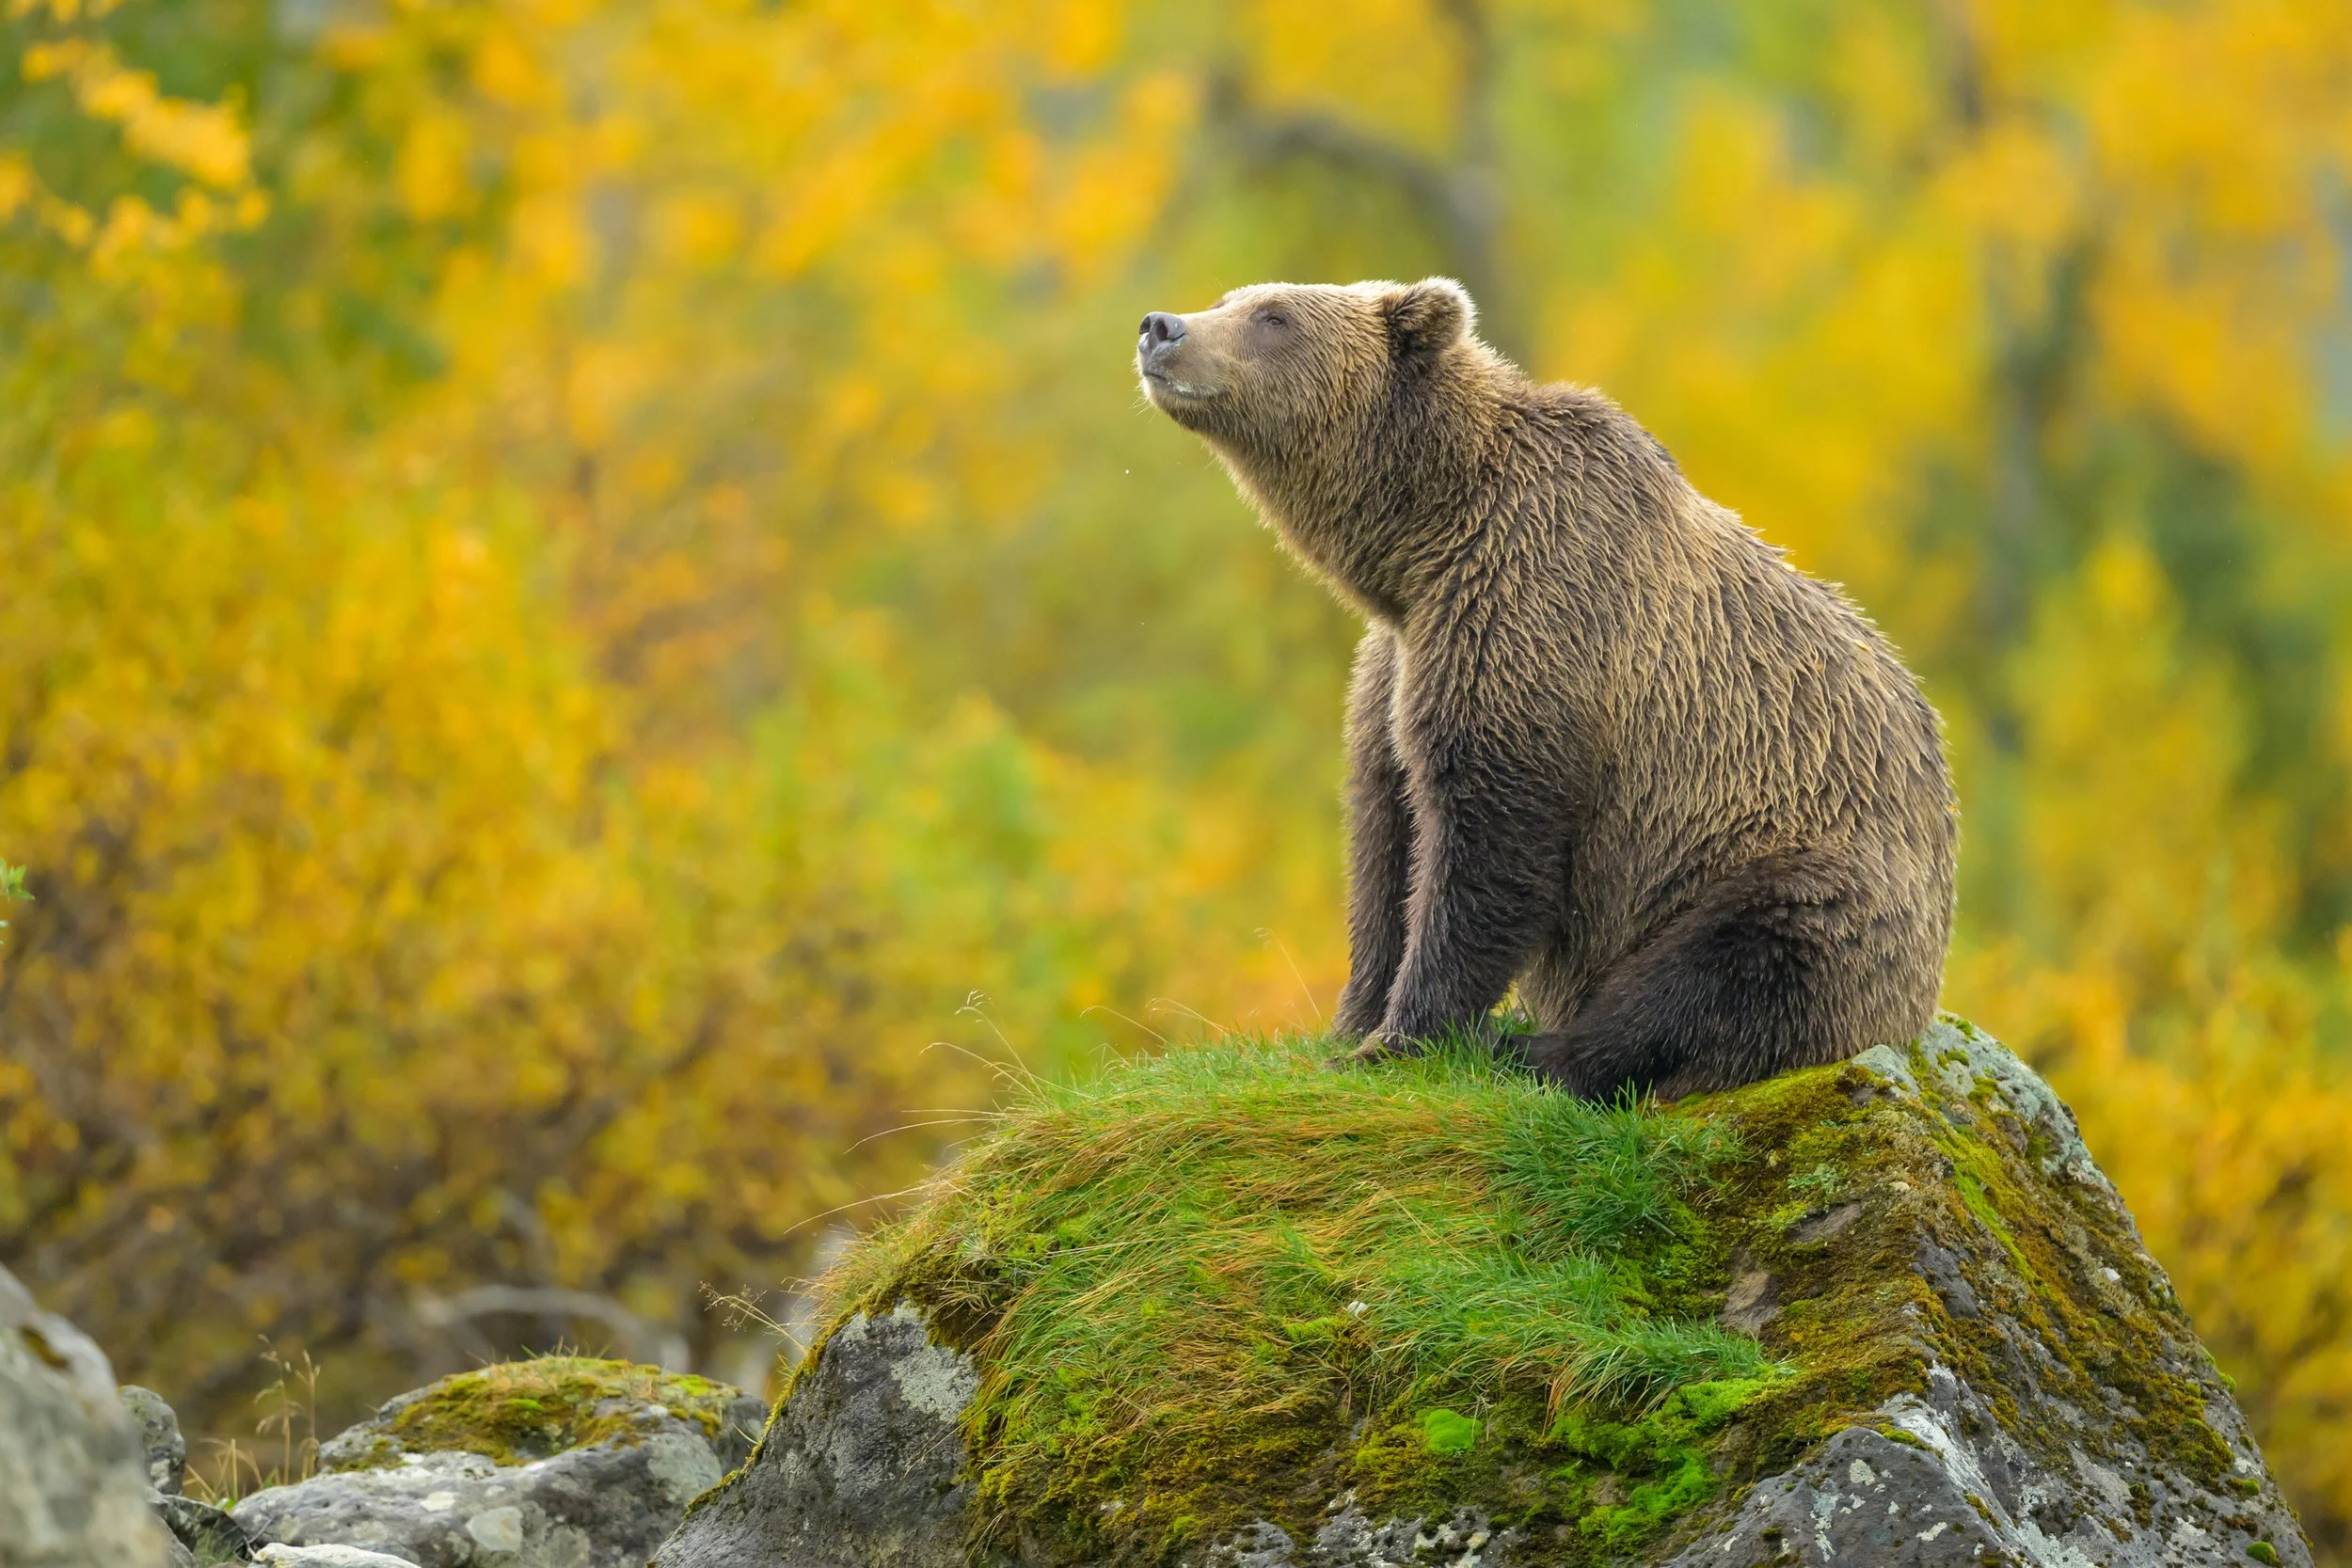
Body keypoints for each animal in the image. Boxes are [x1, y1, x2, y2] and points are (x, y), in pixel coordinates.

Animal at [1135, 277, 1957, 1100]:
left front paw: (1401, 1038)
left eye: (1274, 315)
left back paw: (1536, 1049)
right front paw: (1350, 1021)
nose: (1160, 326)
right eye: (1231, 298)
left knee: (1728, 962)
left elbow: (1487, 840)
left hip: (1803, 858)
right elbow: (1384, 840)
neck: (1417, 546)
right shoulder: (1398, 662)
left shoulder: (1529, 611)